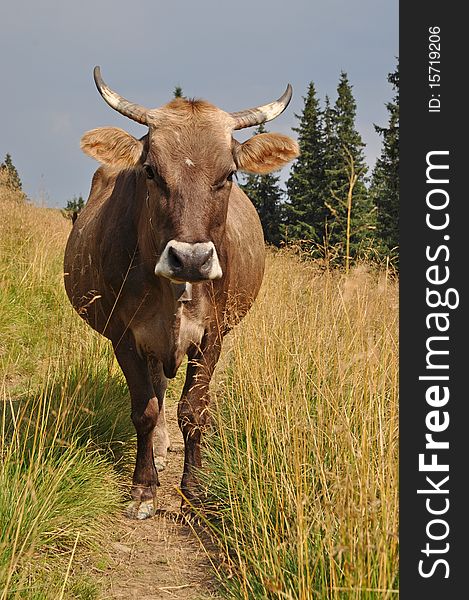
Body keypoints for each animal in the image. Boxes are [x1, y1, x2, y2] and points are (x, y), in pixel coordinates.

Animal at [64, 67, 298, 520]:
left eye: (228, 175)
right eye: (151, 171)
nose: (191, 258)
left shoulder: (213, 334)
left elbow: (193, 411)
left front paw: (194, 491)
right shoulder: (124, 335)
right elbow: (145, 408)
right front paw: (144, 487)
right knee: (156, 389)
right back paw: (157, 448)